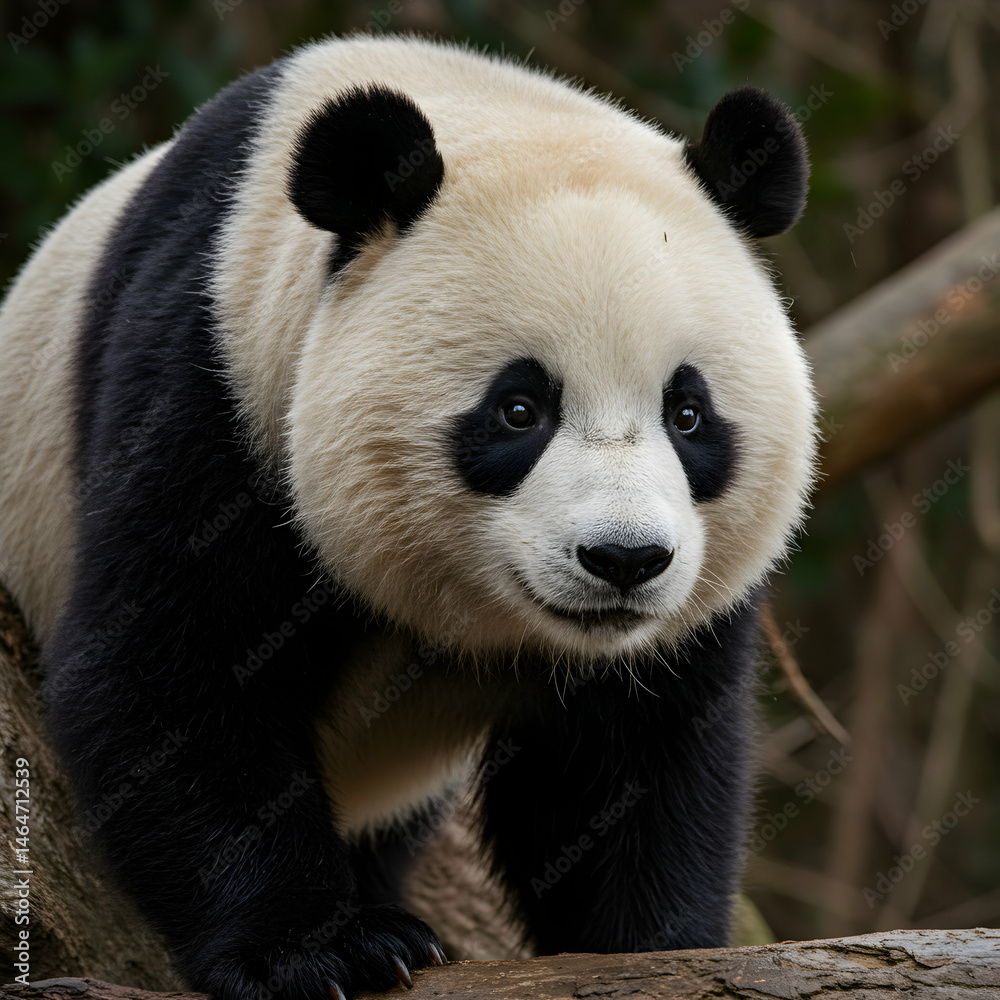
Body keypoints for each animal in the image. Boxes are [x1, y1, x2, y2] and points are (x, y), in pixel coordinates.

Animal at [0, 33, 815, 1000]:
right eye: (518, 410)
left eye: (688, 415)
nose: (623, 561)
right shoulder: (212, 377)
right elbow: (167, 675)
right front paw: (318, 951)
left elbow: (633, 760)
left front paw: (659, 948)